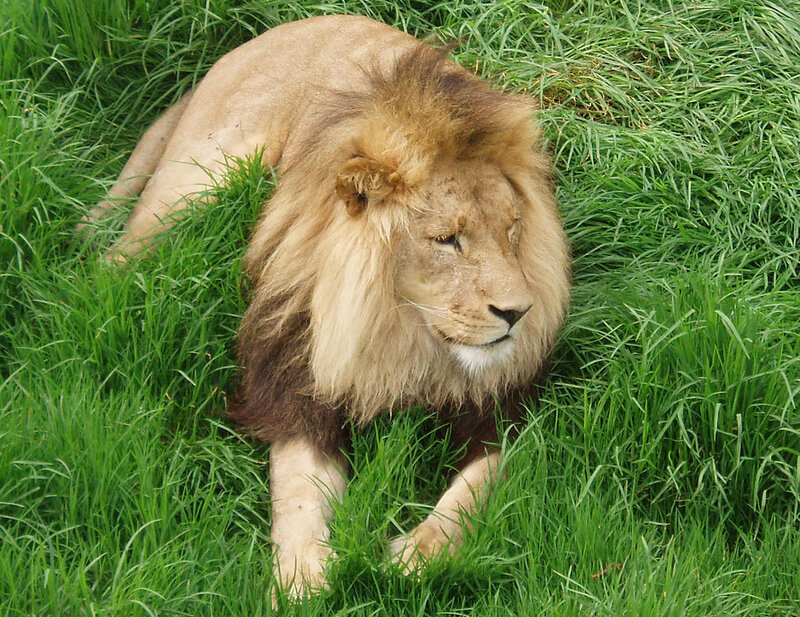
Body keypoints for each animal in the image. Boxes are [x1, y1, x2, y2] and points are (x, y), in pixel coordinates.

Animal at [84, 14, 571, 601]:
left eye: (513, 229)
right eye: (447, 240)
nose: (518, 313)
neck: (400, 331)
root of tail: (277, 31)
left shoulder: (509, 407)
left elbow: (477, 486)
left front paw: (412, 559)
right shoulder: (294, 376)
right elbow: (298, 488)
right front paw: (301, 578)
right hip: (197, 183)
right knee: (111, 263)